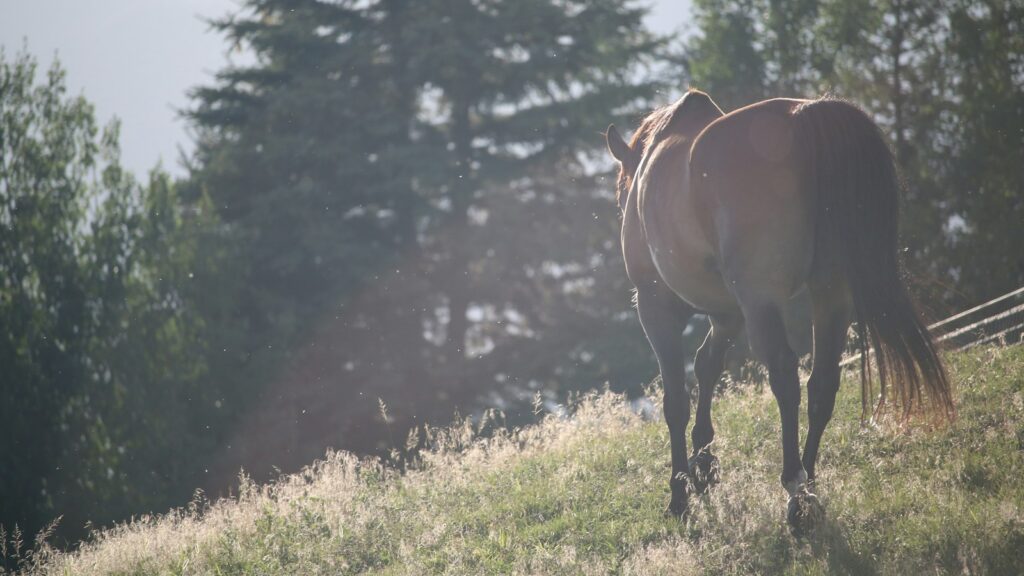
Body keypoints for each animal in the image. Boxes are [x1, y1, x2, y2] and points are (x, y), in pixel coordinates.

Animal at [604, 89, 955, 533]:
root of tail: (806, 117)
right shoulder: (729, 313)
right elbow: (707, 365)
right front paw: (704, 466)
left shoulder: (657, 308)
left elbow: (676, 401)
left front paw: (681, 492)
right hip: (831, 293)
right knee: (822, 382)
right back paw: (809, 482)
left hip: (762, 299)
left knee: (786, 377)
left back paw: (795, 491)